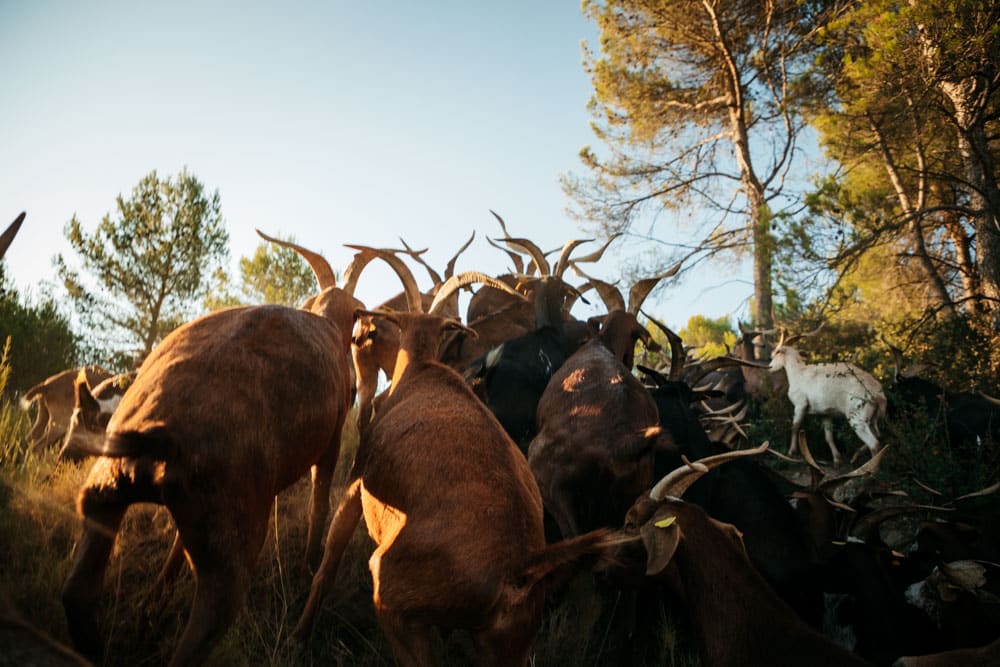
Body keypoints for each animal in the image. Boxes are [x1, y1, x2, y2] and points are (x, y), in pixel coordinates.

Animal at [292, 306, 624, 664]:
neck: (421, 368)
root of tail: (518, 567)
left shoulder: (356, 481)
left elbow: (327, 566)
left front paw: (299, 635)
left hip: (394, 602)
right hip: (508, 647)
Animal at [768, 332, 888, 468]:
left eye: (777, 352)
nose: (769, 367)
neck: (799, 373)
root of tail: (877, 394)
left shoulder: (800, 405)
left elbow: (795, 427)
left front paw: (791, 452)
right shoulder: (825, 414)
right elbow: (828, 437)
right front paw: (837, 460)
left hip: (857, 419)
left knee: (874, 444)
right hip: (872, 419)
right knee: (878, 436)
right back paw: (855, 456)